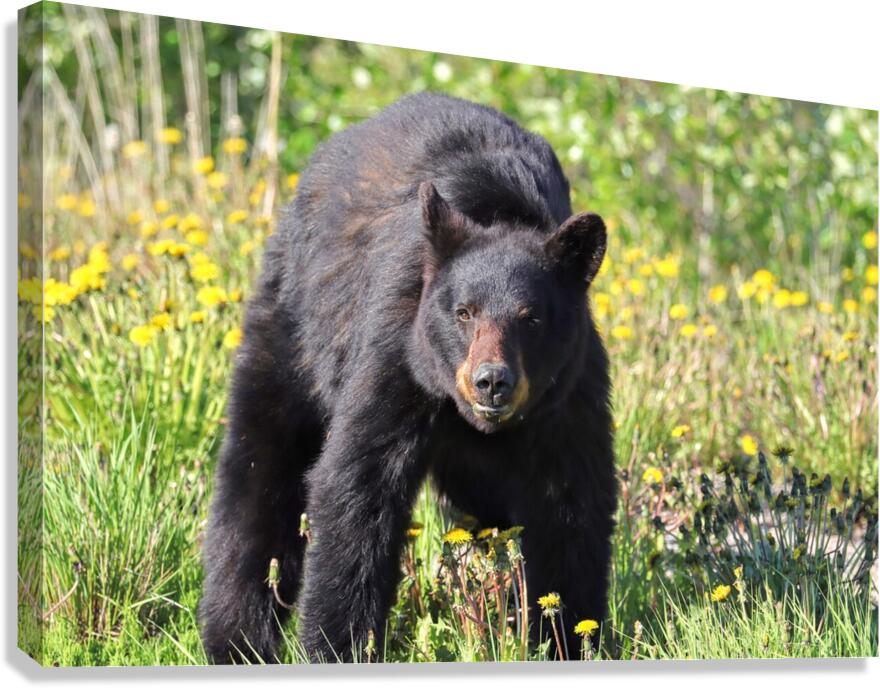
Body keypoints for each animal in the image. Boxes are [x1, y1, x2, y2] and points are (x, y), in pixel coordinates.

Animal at [199, 92, 617, 664]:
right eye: (464, 312)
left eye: (530, 318)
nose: (492, 381)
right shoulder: (397, 349)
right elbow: (358, 485)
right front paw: (338, 647)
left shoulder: (568, 395)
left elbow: (571, 504)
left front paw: (570, 639)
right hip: (295, 329)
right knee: (260, 471)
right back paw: (236, 640)